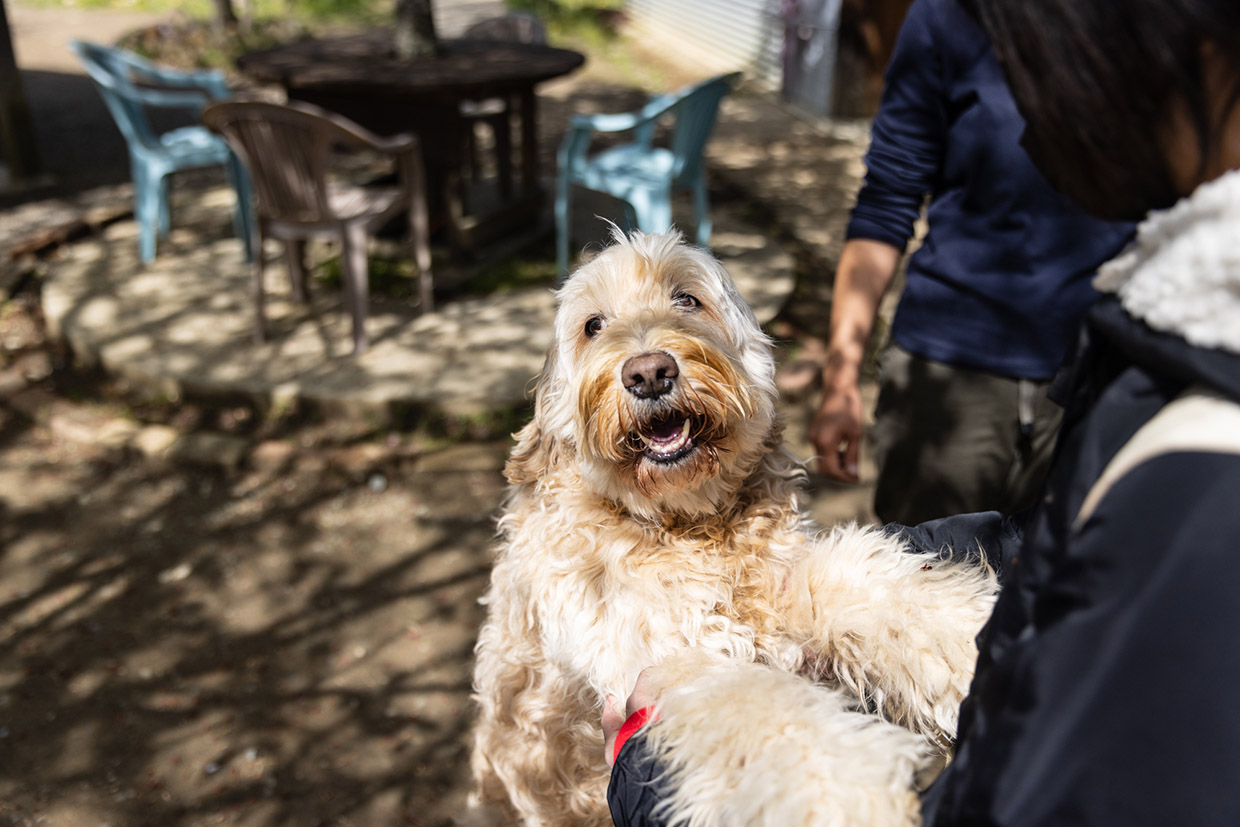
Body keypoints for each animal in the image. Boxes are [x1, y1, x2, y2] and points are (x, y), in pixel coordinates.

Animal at [468, 231, 1001, 827]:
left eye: (686, 299)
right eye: (593, 325)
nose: (649, 372)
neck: (686, 525)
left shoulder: (786, 583)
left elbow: (874, 586)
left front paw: (980, 644)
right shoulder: (667, 666)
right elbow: (767, 719)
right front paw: (840, 796)